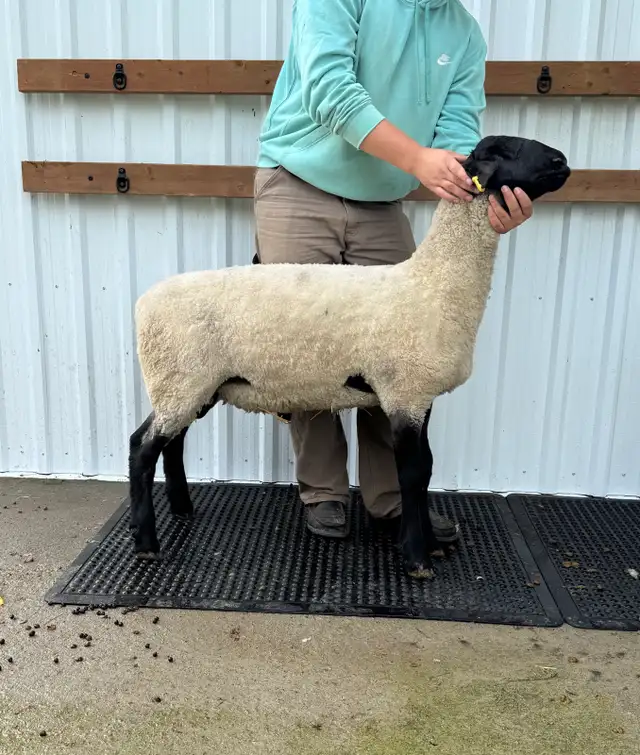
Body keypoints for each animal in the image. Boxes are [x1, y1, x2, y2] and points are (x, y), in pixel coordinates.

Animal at [128, 134, 570, 579]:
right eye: (506, 151)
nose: (562, 162)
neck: (433, 284)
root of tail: (144, 302)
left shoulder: (419, 394)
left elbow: (426, 468)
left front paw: (430, 541)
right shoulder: (404, 393)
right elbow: (412, 473)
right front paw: (417, 558)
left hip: (193, 386)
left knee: (171, 444)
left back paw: (183, 509)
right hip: (180, 379)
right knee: (141, 449)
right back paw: (147, 544)